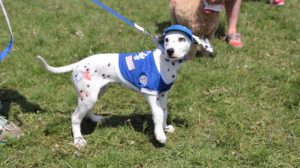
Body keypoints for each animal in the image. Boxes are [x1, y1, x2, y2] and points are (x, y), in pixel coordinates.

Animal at [37, 24, 195, 147]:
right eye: (167, 40)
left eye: (181, 39)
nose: (170, 51)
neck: (164, 61)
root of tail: (78, 64)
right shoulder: (150, 93)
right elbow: (158, 114)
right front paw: (160, 136)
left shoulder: (163, 94)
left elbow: (164, 111)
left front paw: (165, 128)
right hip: (89, 97)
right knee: (75, 117)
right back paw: (78, 140)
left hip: (94, 93)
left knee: (85, 111)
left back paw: (96, 119)